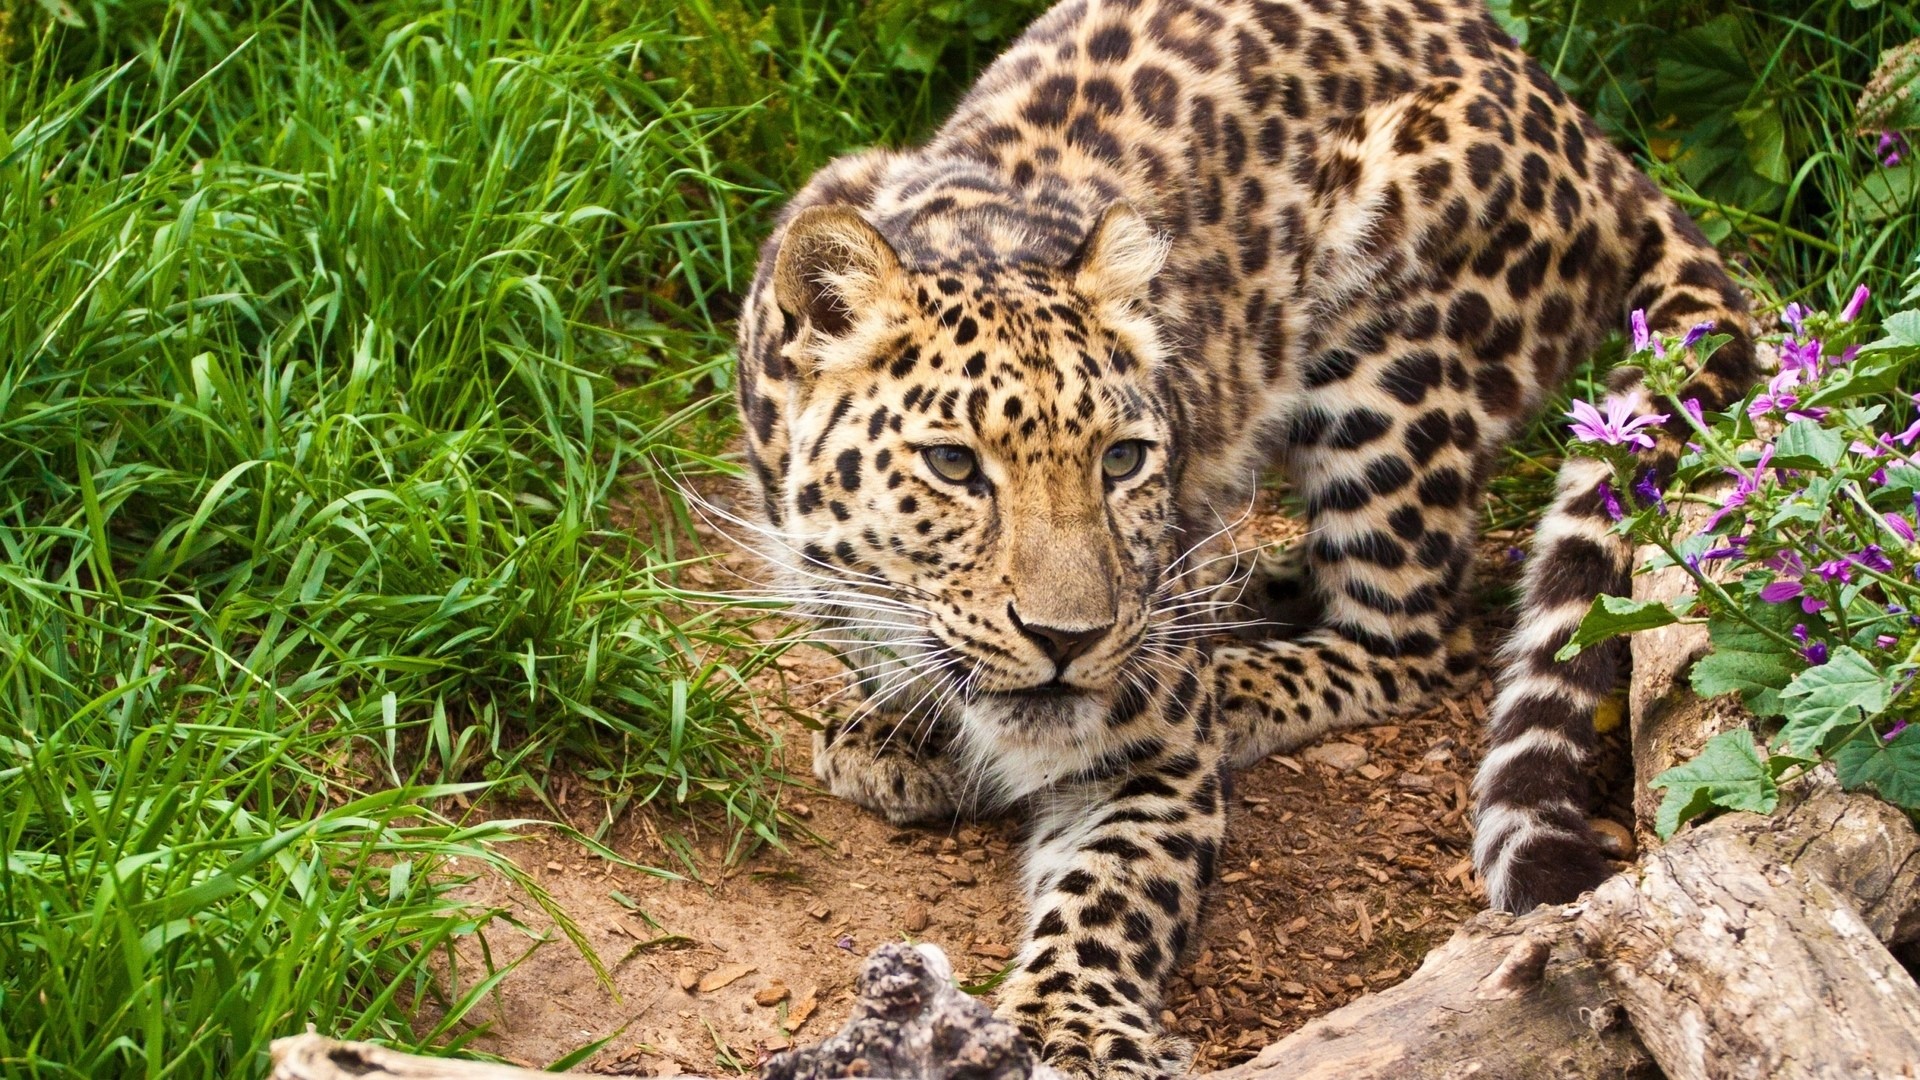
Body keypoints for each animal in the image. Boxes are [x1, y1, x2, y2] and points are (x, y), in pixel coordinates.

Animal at [730, 0, 1761, 1076]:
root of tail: (1596, 142)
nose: (1068, 641)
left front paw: (1067, 1025)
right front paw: (896, 725)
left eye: (1122, 461)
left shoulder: (1156, 762)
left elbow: (1110, 893)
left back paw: (1238, 674)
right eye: (955, 466)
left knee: (1417, 639)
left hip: (1389, 371)